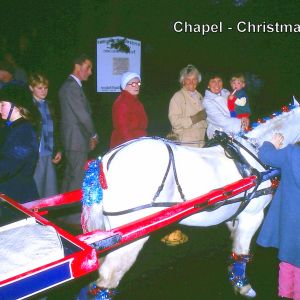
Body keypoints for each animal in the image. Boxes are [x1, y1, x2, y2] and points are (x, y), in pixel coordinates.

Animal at [81, 101, 300, 298]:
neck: (253, 152)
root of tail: (104, 162)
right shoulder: (252, 216)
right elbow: (242, 253)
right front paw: (243, 286)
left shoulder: (234, 215)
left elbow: (235, 250)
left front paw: (234, 278)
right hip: (131, 238)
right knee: (107, 279)